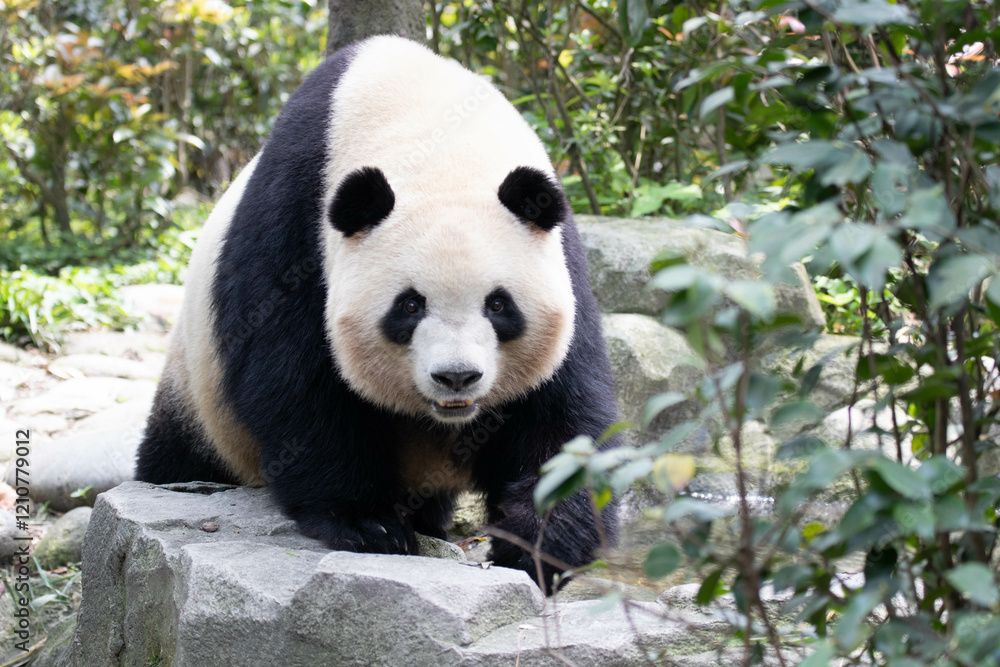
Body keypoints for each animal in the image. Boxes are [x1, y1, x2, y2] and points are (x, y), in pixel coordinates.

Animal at [136, 35, 619, 592]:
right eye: (409, 305)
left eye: (499, 305)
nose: (457, 377)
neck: (439, 139)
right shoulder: (298, 221)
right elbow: (293, 378)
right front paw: (368, 524)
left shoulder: (561, 255)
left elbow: (561, 410)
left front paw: (533, 546)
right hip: (198, 394)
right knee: (179, 459)